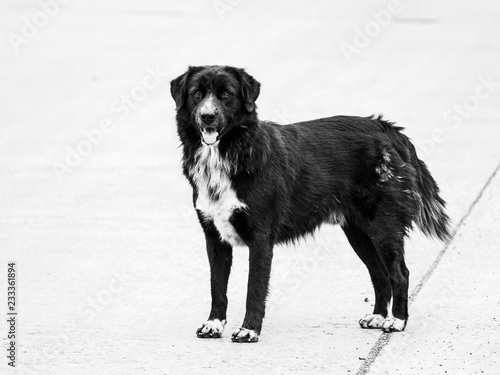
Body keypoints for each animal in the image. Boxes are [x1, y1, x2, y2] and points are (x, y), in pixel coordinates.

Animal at [170, 65, 452, 344]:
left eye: (226, 94)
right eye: (197, 93)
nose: (207, 116)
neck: (231, 151)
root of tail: (385, 127)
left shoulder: (260, 239)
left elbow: (255, 289)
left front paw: (249, 330)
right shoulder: (214, 238)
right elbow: (217, 287)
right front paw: (214, 324)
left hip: (384, 227)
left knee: (400, 273)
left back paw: (397, 321)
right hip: (358, 232)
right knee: (380, 274)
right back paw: (378, 316)